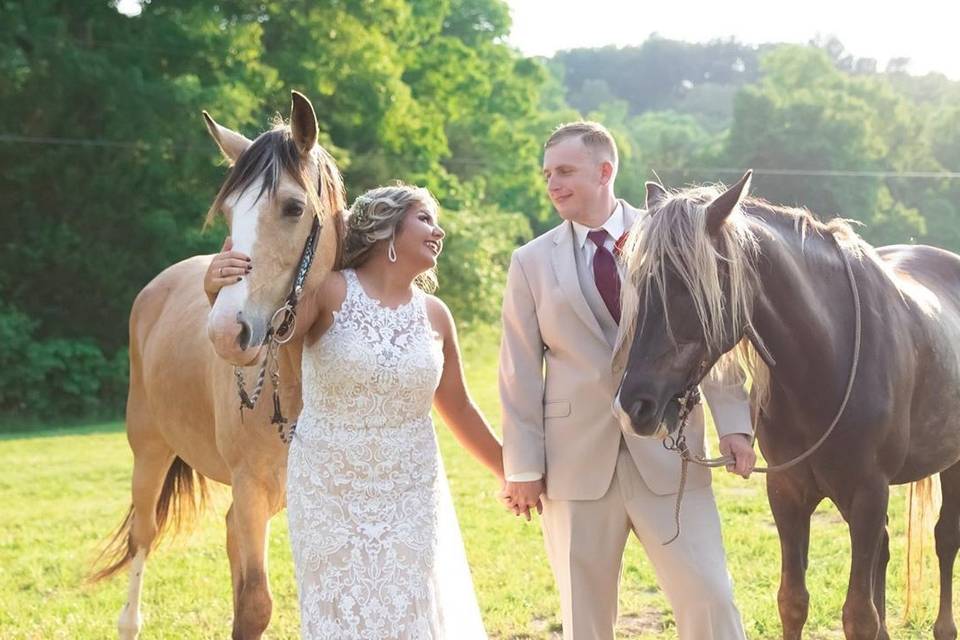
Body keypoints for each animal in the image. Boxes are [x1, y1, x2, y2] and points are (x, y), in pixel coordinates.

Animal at [92, 91, 346, 640]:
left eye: (294, 207)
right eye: (228, 212)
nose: (227, 333)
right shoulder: (251, 490)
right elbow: (254, 607)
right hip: (149, 453)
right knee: (143, 536)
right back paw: (130, 620)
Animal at [612, 170, 956, 640]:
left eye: (686, 285)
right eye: (637, 281)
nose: (634, 404)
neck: (827, 360)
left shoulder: (868, 492)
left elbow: (858, 616)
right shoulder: (787, 492)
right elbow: (793, 602)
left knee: (945, 540)